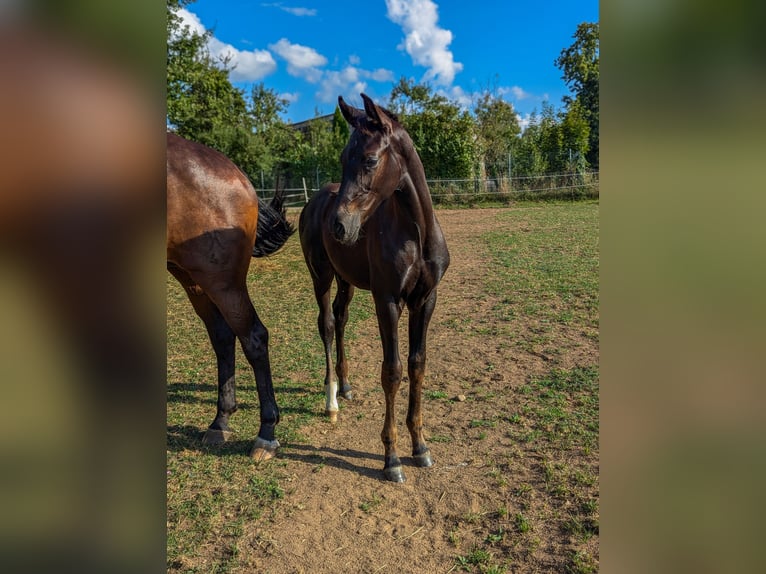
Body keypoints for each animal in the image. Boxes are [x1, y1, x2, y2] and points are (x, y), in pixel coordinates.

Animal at [166, 133, 296, 462]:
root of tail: (238, 176)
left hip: (221, 282)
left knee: (253, 337)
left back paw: (266, 433)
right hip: (194, 279)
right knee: (223, 336)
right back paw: (220, 421)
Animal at [300, 95, 450, 486]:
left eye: (369, 159)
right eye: (342, 159)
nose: (339, 226)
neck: (416, 233)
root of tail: (314, 202)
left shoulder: (425, 300)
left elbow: (417, 364)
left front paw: (420, 447)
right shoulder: (388, 301)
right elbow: (392, 371)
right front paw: (392, 458)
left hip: (346, 280)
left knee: (341, 318)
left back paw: (346, 385)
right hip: (321, 275)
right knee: (327, 324)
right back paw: (332, 401)